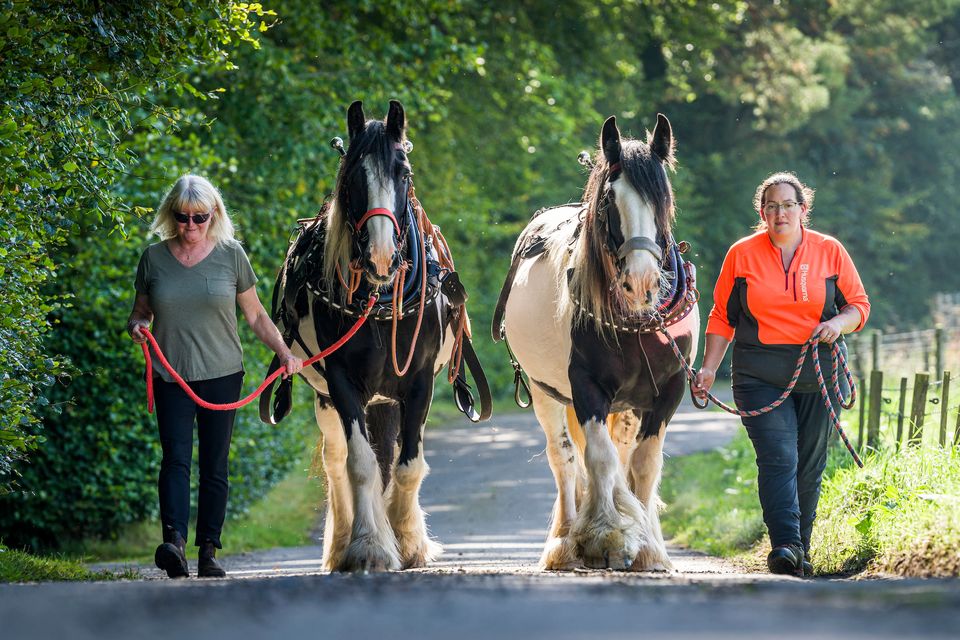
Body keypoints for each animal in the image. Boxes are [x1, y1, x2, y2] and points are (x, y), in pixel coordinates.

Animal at [270, 102, 454, 572]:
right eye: (353, 176)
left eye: (404, 173)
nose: (381, 256)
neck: (380, 299)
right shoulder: (342, 382)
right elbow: (360, 464)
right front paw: (369, 545)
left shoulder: (418, 381)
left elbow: (407, 464)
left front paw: (407, 541)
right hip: (327, 399)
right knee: (337, 460)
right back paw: (340, 545)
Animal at [492, 114, 700, 568]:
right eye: (609, 200)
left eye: (663, 197)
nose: (641, 282)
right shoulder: (585, 388)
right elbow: (599, 459)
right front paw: (605, 535)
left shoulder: (668, 390)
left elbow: (643, 463)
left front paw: (649, 548)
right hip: (545, 391)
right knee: (566, 458)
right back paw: (565, 540)